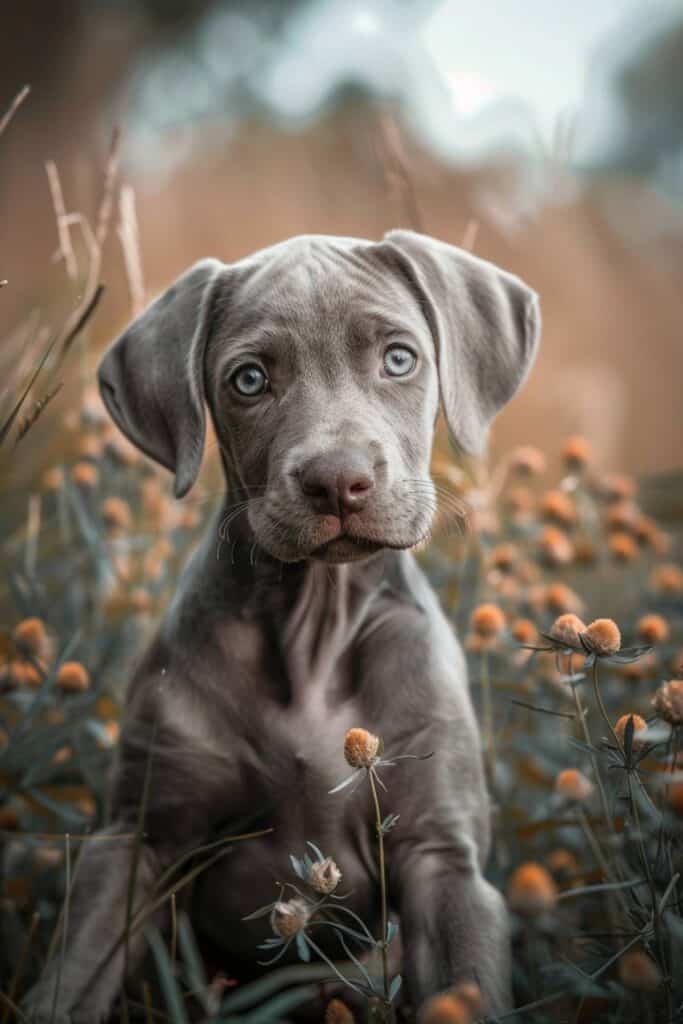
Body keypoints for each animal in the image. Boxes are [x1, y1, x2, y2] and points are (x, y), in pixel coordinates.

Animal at [25, 232, 540, 1024]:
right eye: (249, 380)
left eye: (398, 359)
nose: (338, 483)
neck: (312, 627)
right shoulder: (139, 838)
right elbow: (73, 980)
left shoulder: (445, 864)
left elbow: (466, 989)